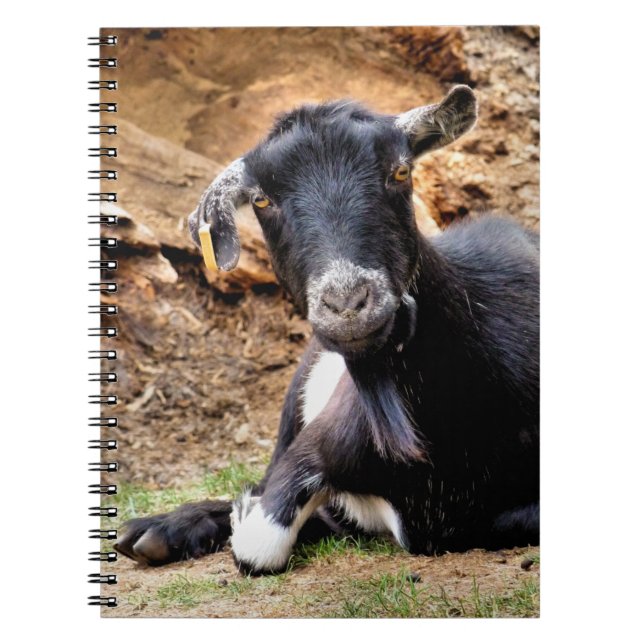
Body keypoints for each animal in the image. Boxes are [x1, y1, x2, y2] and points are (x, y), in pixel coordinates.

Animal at [115, 86, 539, 574]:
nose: (347, 304)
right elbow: (260, 539)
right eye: (261, 200)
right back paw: (156, 531)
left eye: (400, 170)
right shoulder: (316, 444)